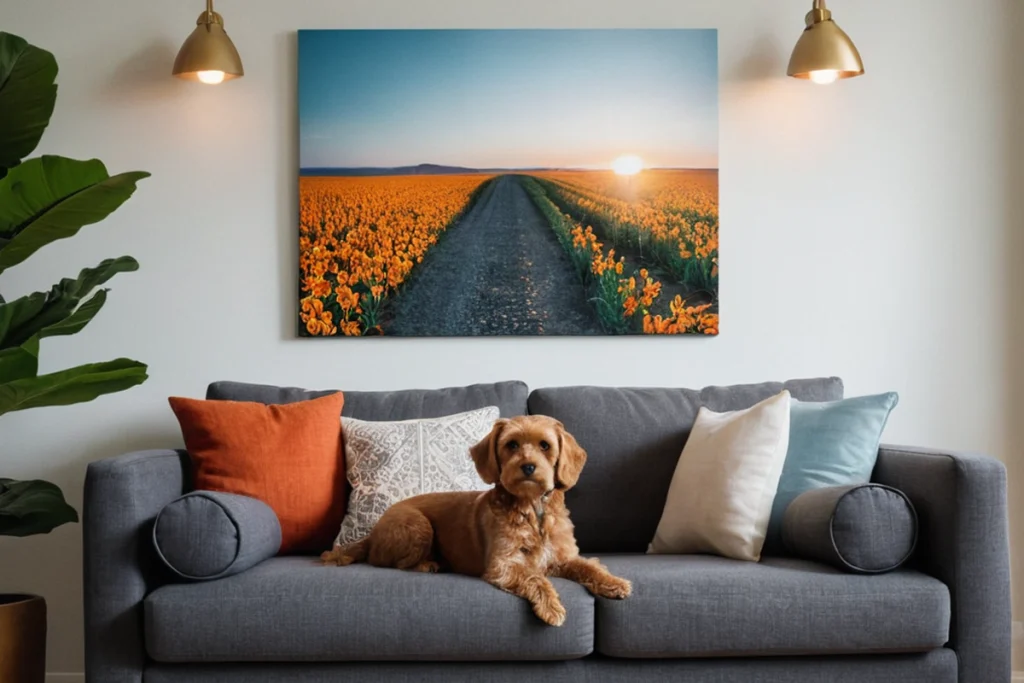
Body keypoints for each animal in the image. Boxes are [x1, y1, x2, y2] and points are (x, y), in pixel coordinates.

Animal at [319, 413, 626, 626]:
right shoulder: (502, 564)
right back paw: (429, 564)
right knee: (390, 562)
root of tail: (371, 533)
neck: (532, 509)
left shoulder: (564, 557)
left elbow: (590, 567)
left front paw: (615, 583)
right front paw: (552, 607)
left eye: (545, 445)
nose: (528, 467)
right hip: (418, 525)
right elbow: (535, 578)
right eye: (511, 445)